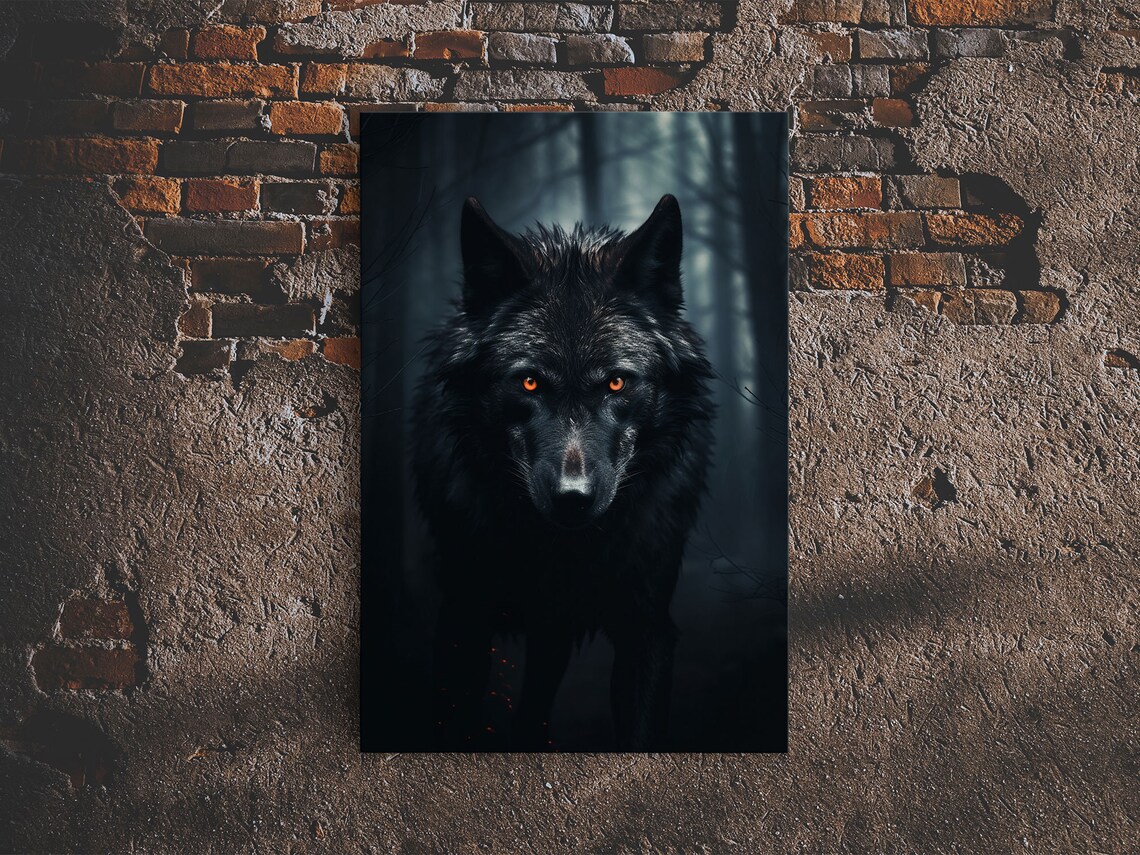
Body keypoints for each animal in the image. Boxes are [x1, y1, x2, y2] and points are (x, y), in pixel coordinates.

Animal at [411, 194, 714, 750]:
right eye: (529, 382)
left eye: (617, 383)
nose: (573, 496)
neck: (564, 551)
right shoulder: (465, 617)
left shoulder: (647, 627)